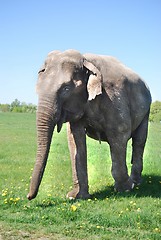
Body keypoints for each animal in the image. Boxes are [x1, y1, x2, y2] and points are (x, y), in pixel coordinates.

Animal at [27, 49, 152, 201]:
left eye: (66, 88)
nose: (29, 197)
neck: (86, 61)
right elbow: (75, 139)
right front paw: (76, 197)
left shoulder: (114, 96)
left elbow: (119, 133)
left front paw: (126, 189)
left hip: (146, 110)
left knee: (139, 140)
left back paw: (136, 182)